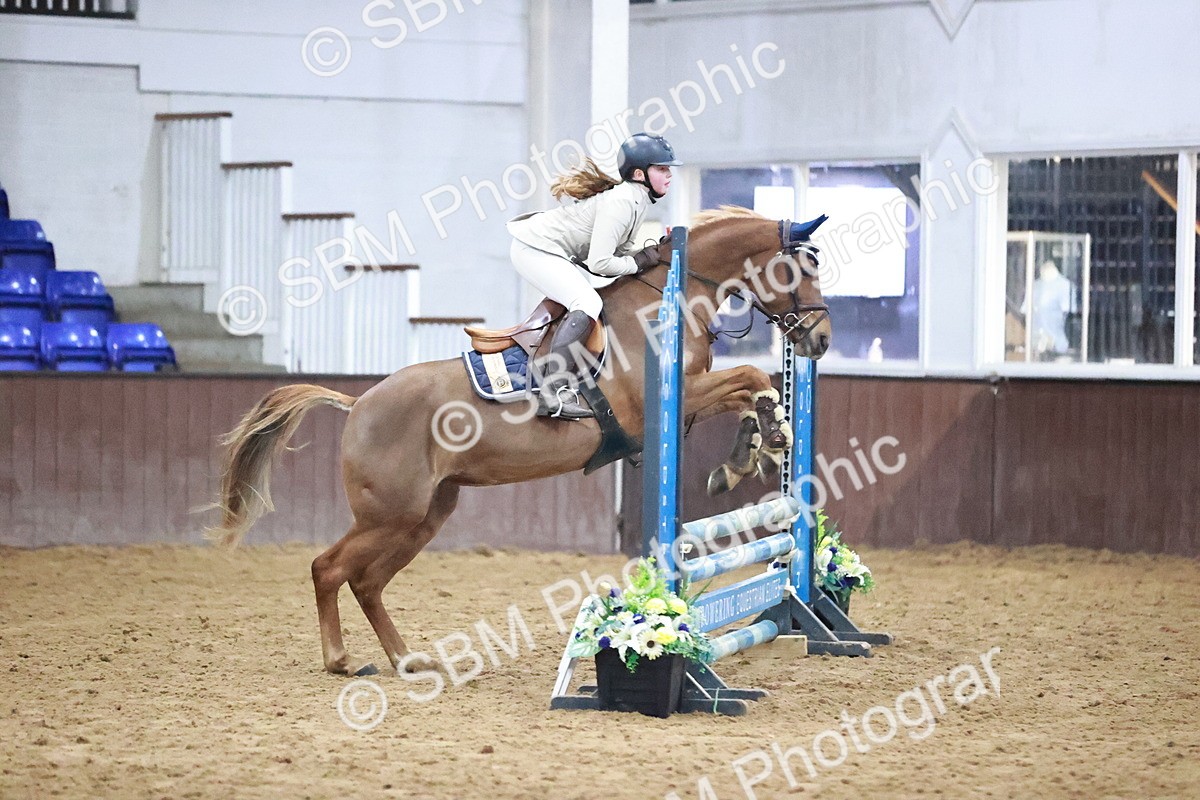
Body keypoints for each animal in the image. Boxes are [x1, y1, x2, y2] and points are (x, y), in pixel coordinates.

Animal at [209, 207, 832, 677]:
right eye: (802, 268)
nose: (821, 339)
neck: (667, 300)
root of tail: (357, 404)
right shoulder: (667, 399)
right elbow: (749, 377)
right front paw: (764, 440)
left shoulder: (690, 400)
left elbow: (748, 388)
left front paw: (754, 450)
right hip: (388, 513)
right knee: (328, 568)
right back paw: (341, 659)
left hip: (425, 516)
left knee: (366, 581)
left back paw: (406, 659)